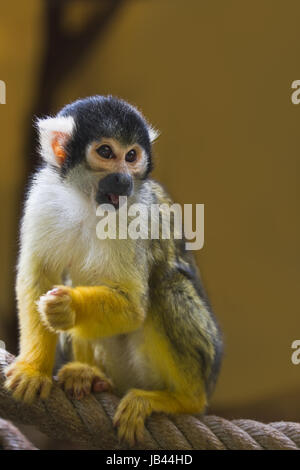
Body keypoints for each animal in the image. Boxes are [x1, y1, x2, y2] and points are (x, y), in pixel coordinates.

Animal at [4, 95, 220, 444]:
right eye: (106, 152)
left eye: (131, 156)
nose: (123, 177)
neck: (88, 202)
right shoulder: (44, 196)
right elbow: (38, 278)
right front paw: (34, 369)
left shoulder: (136, 211)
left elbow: (133, 306)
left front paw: (68, 306)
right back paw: (90, 375)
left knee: (166, 285)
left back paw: (180, 399)